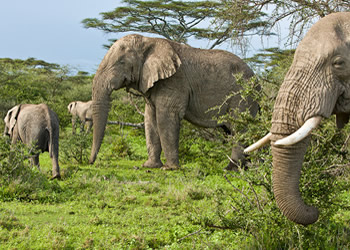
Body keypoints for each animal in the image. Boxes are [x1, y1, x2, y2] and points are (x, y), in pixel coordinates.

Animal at [89, 33, 260, 170]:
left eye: (121, 62)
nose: (90, 162)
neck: (149, 40)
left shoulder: (174, 81)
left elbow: (165, 118)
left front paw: (169, 168)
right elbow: (150, 119)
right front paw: (149, 166)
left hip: (243, 97)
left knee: (239, 129)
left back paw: (232, 169)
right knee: (231, 131)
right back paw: (247, 168)